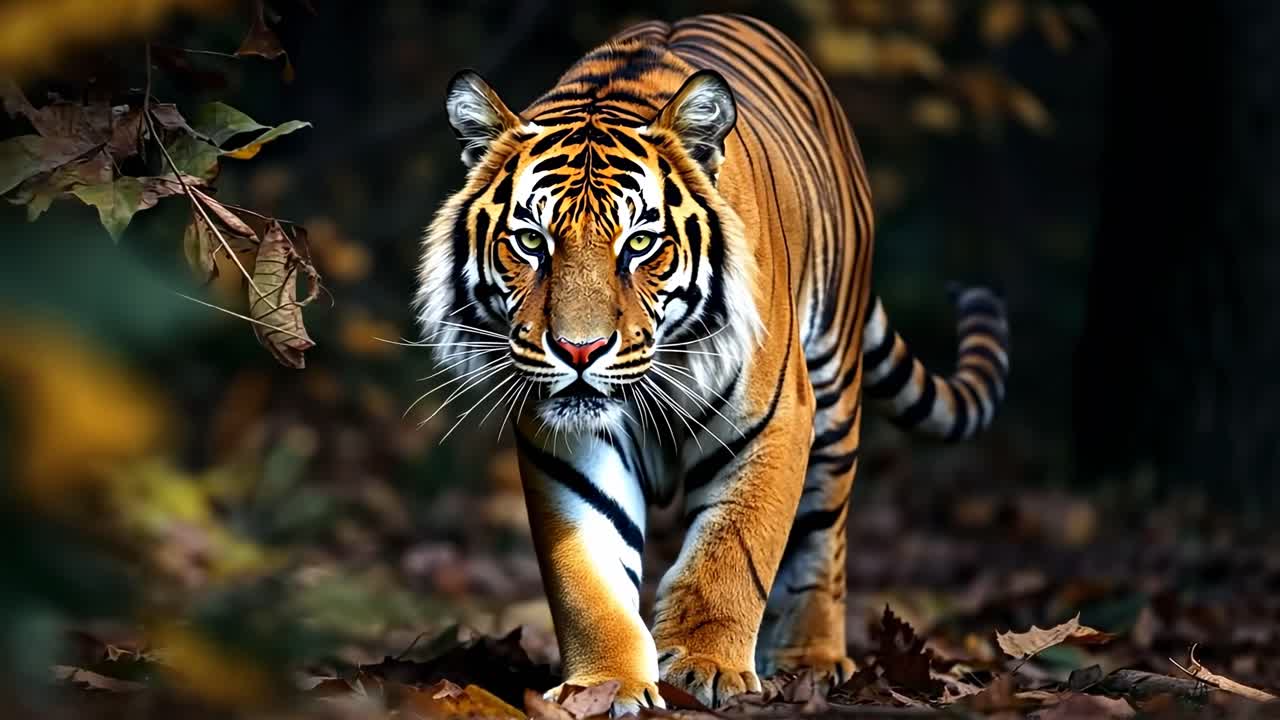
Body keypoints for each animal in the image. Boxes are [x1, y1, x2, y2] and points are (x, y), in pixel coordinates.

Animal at [414, 13, 1010, 715]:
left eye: (641, 243)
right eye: (531, 241)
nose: (579, 350)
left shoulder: (776, 419)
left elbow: (735, 550)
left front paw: (706, 665)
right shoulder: (567, 442)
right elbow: (587, 577)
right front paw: (606, 684)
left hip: (834, 395)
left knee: (823, 538)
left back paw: (814, 659)